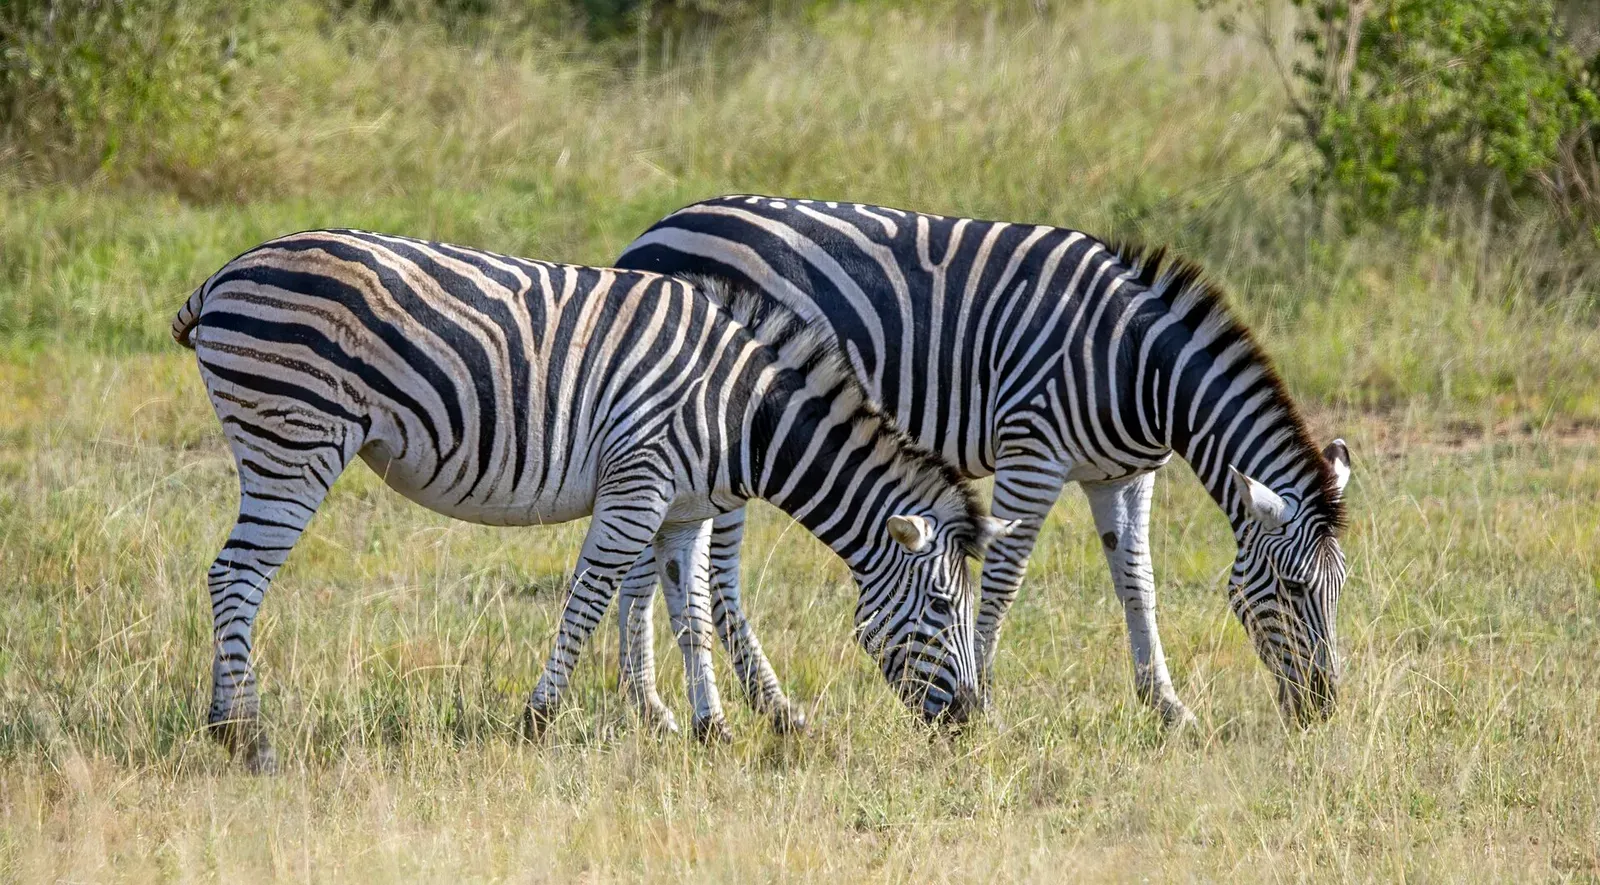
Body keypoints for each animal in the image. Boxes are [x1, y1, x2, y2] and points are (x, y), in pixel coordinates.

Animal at [172, 229, 1012, 771]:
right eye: (943, 605)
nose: (970, 723)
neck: (739, 411)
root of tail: (225, 272)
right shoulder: (637, 487)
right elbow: (586, 600)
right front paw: (538, 720)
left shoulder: (684, 513)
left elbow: (691, 615)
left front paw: (711, 730)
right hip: (295, 438)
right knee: (236, 575)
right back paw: (243, 734)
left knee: (231, 574)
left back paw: (230, 725)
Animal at [613, 195, 1354, 729]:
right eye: (1293, 589)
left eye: (1340, 588)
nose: (1322, 708)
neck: (1136, 363)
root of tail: (653, 232)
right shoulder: (1034, 451)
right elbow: (1003, 581)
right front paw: (987, 696)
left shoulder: (1125, 474)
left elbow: (1137, 582)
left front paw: (1167, 707)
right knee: (710, 574)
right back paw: (750, 704)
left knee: (655, 560)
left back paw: (658, 704)